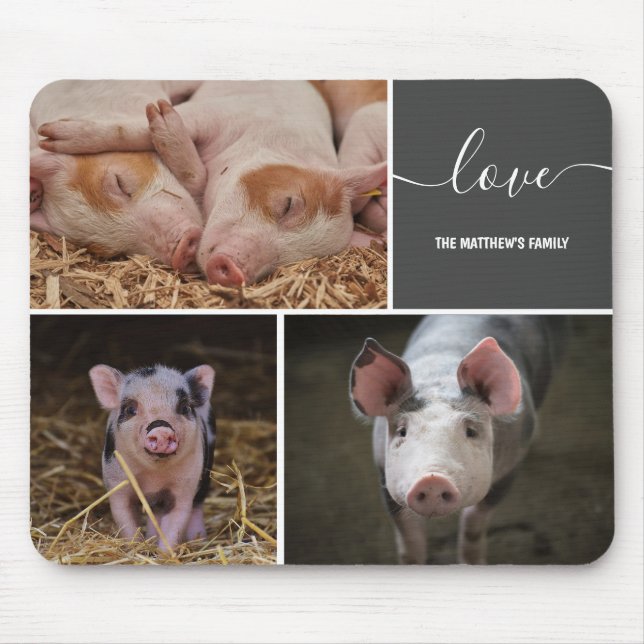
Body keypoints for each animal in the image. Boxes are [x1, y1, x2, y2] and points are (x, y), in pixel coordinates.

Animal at [89, 363, 215, 551]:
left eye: (184, 408)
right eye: (130, 409)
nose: (161, 429)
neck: (154, 477)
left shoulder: (185, 487)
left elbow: (175, 524)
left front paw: (163, 553)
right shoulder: (117, 484)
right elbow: (126, 521)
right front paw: (136, 549)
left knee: (197, 505)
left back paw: (199, 541)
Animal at [349, 315, 566, 564]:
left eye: (470, 431)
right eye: (402, 431)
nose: (432, 479)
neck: (440, 381)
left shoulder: (510, 468)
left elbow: (473, 523)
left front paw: (473, 563)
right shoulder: (384, 473)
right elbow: (409, 538)